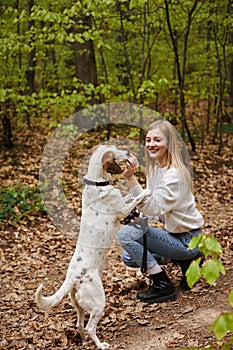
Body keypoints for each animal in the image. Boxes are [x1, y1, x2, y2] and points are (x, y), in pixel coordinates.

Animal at [35, 145, 150, 350]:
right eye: (115, 151)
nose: (129, 153)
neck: (97, 183)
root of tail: (72, 277)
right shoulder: (122, 212)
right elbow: (137, 198)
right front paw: (147, 191)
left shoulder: (122, 202)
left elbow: (129, 195)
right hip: (98, 302)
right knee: (89, 327)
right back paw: (101, 345)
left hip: (79, 305)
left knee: (79, 324)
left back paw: (83, 340)